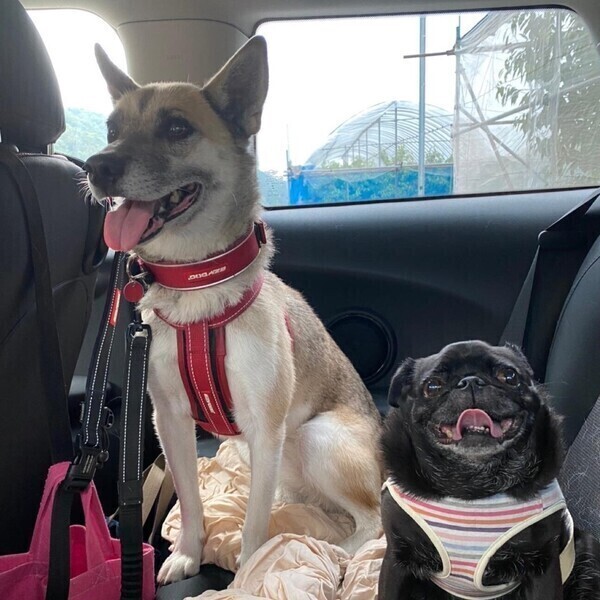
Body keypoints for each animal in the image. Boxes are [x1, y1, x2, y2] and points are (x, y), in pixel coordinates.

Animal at [84, 36, 382, 585]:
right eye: (112, 129)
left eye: (177, 128)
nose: (96, 166)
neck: (198, 283)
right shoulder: (170, 420)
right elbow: (192, 500)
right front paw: (188, 552)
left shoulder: (264, 427)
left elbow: (254, 524)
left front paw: (250, 568)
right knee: (302, 498)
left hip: (316, 436)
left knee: (370, 520)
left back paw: (336, 548)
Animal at [379, 340, 600, 599]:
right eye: (432, 386)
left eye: (509, 376)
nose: (471, 381)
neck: (473, 480)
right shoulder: (397, 559)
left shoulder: (544, 567)